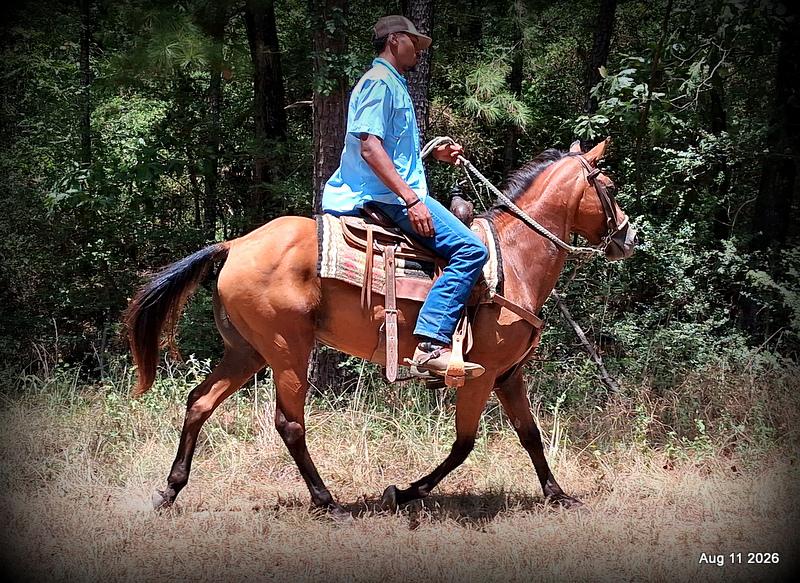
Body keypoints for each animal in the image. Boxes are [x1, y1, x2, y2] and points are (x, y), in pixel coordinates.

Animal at [125, 138, 637, 517]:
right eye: (610, 186)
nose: (629, 237)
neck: (513, 258)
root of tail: (234, 244)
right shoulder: (482, 373)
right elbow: (464, 444)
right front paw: (405, 492)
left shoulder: (510, 374)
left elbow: (530, 435)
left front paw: (558, 494)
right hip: (287, 349)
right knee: (289, 423)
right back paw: (326, 501)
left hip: (247, 351)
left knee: (199, 402)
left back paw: (169, 491)